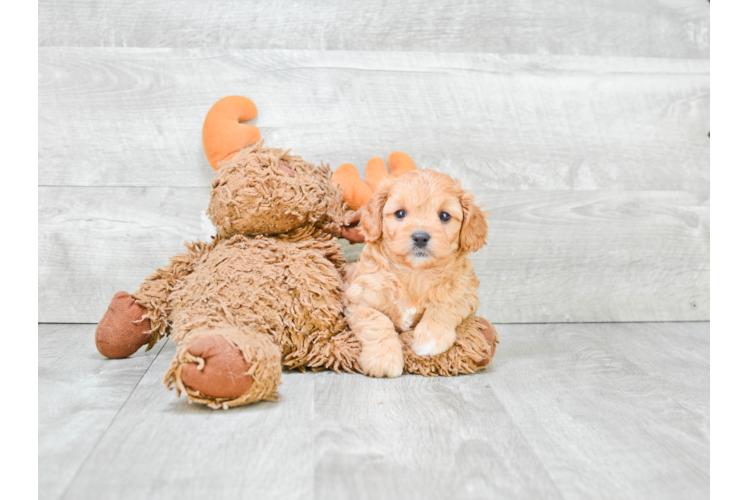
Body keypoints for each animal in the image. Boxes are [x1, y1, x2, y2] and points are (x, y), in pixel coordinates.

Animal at [346, 168, 490, 376]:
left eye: (444, 216)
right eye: (400, 213)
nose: (420, 237)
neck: (415, 273)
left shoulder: (464, 291)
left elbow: (443, 304)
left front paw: (430, 339)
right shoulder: (359, 299)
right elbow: (377, 320)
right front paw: (383, 358)